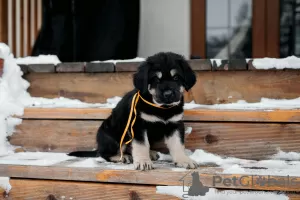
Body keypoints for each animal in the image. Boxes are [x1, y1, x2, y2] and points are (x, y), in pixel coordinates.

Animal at [69, 52, 198, 170]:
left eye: (176, 78)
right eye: (156, 79)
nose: (168, 94)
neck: (161, 108)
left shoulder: (175, 124)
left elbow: (178, 144)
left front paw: (184, 160)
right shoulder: (138, 125)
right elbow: (141, 145)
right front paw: (143, 162)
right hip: (112, 136)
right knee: (105, 154)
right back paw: (123, 157)